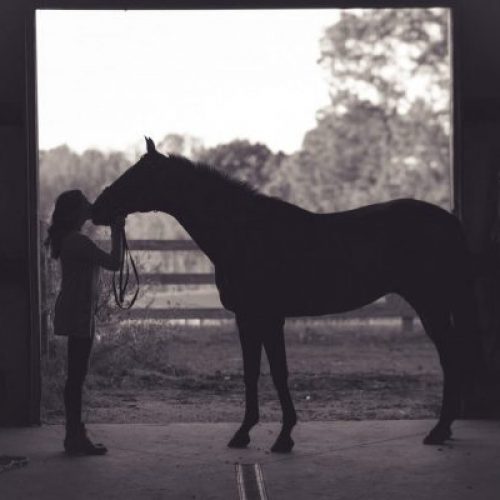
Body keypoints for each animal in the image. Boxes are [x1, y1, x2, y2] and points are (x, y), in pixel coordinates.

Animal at [93, 137, 480, 454]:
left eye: (137, 175)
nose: (98, 208)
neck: (244, 233)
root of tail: (449, 220)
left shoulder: (268, 317)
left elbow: (279, 373)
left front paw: (283, 437)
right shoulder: (246, 318)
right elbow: (251, 373)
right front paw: (243, 433)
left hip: (430, 304)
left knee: (451, 357)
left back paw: (439, 430)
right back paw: (443, 429)